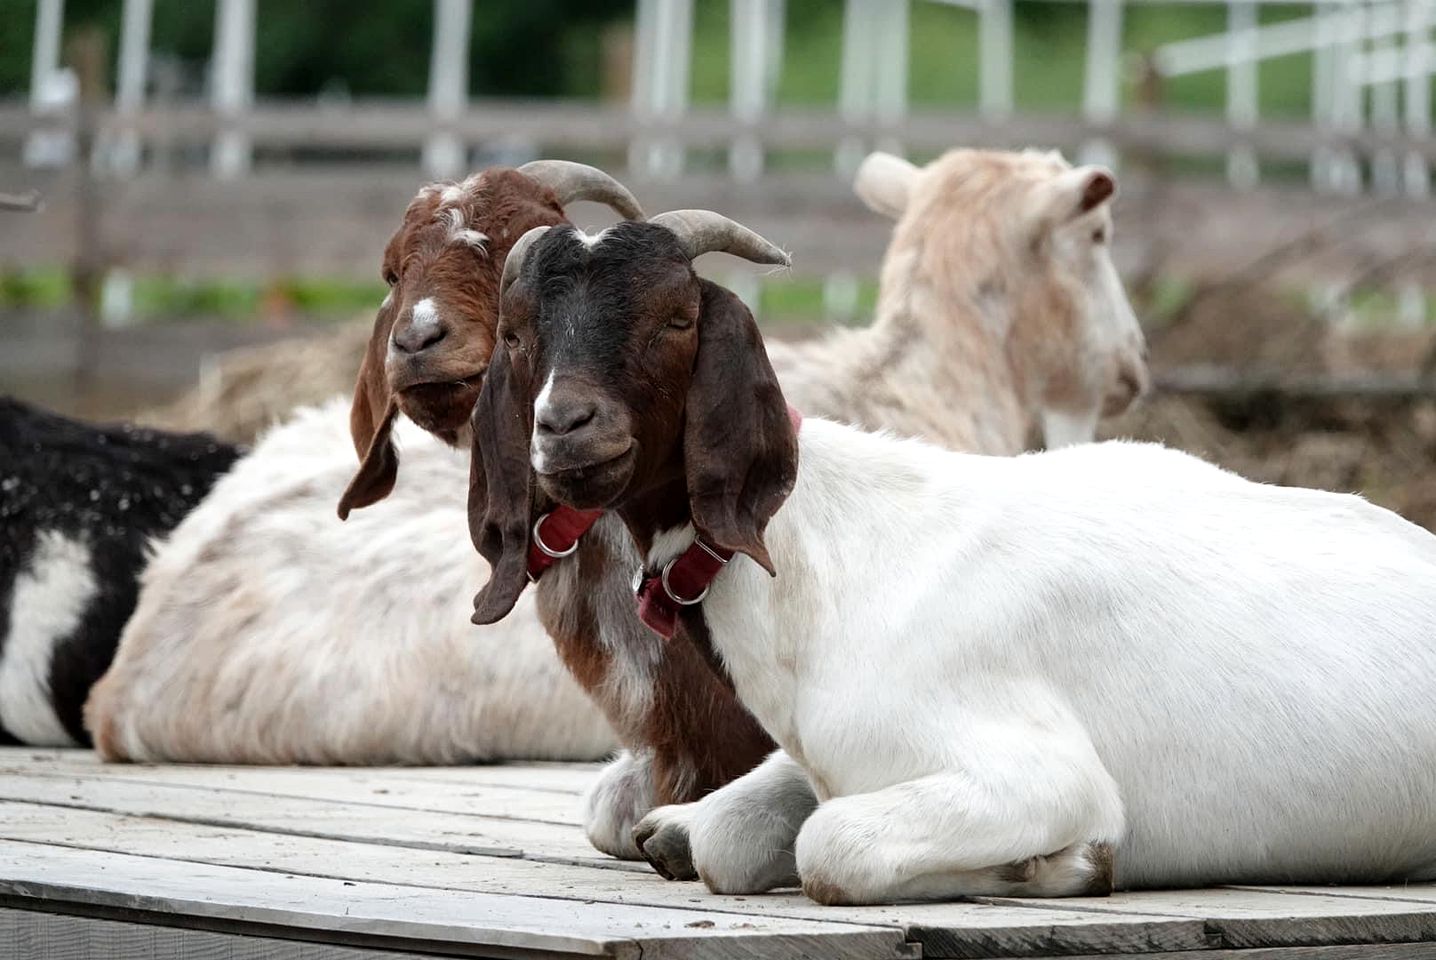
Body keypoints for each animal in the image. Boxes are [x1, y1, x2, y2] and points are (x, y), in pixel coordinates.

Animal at [471, 208, 1436, 901]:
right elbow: (730, 838)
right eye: (519, 332)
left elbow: (831, 848)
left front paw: (1063, 864)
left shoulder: (1038, 777)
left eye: (677, 318)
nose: (566, 427)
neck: (825, 563)